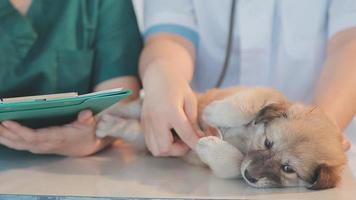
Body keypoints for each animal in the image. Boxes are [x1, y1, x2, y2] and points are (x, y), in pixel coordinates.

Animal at [96, 86, 346, 190]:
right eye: (267, 143)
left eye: (287, 169)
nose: (250, 176)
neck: (247, 139)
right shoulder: (262, 94)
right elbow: (246, 105)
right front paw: (212, 113)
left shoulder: (240, 165)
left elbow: (235, 163)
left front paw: (208, 145)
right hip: (149, 109)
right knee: (130, 108)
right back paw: (102, 109)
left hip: (144, 136)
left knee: (128, 127)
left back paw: (104, 124)